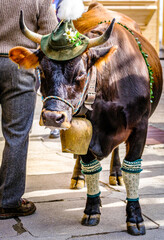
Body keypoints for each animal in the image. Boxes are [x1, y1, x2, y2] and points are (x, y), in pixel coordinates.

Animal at [9, 1, 163, 234]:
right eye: (42, 72)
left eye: (81, 73)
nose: (52, 117)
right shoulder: (84, 129)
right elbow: (90, 167)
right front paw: (91, 209)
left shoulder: (140, 127)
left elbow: (132, 169)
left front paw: (135, 217)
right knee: (80, 159)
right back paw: (77, 177)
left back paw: (115, 174)